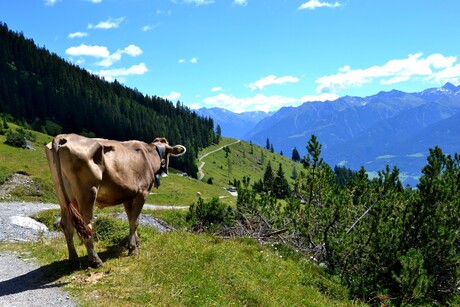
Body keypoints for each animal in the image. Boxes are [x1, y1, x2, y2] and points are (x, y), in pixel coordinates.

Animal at [44, 134, 185, 268]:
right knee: (87, 225)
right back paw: (96, 261)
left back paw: (73, 260)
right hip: (87, 192)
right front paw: (133, 249)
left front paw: (136, 243)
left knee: (66, 225)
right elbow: (135, 221)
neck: (149, 156)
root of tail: (63, 137)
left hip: (62, 194)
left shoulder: (128, 197)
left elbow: (131, 219)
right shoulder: (142, 193)